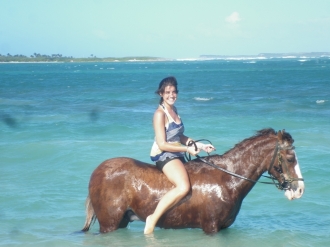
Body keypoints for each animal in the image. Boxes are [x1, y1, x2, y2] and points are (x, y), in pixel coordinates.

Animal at [82, 128, 304, 234]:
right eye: (290, 158)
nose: (299, 188)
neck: (228, 178)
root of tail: (97, 171)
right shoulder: (211, 227)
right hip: (109, 224)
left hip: (120, 222)